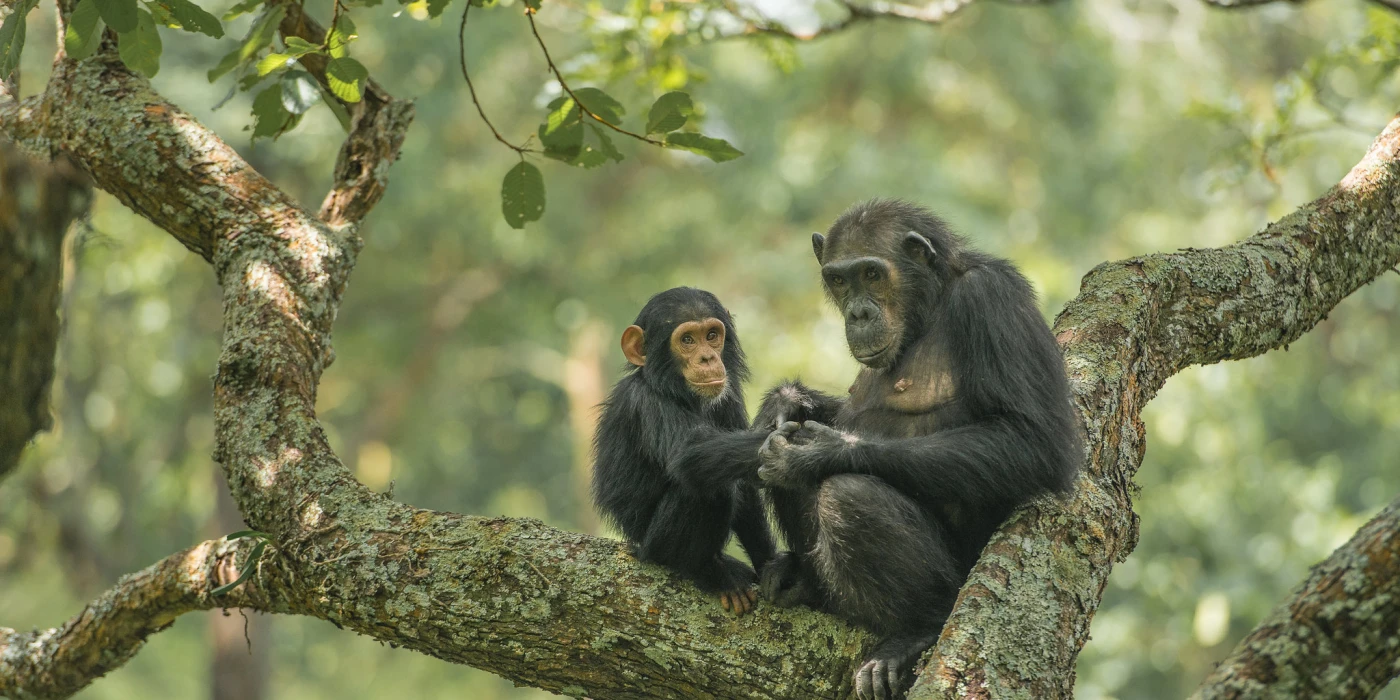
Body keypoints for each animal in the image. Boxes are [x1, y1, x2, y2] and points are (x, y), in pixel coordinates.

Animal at [590, 287, 778, 616]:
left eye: (712, 335)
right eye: (687, 340)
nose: (707, 357)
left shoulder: (728, 395)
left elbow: (746, 483)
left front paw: (776, 569)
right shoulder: (645, 402)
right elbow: (690, 453)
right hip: (653, 549)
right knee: (708, 486)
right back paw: (712, 573)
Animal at [756, 200, 1080, 697]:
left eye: (872, 274)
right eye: (839, 279)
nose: (858, 313)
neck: (928, 306)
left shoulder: (992, 300)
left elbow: (1031, 437)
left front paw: (819, 453)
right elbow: (827, 414)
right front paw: (785, 402)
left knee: (848, 497)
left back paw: (916, 633)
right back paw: (805, 582)